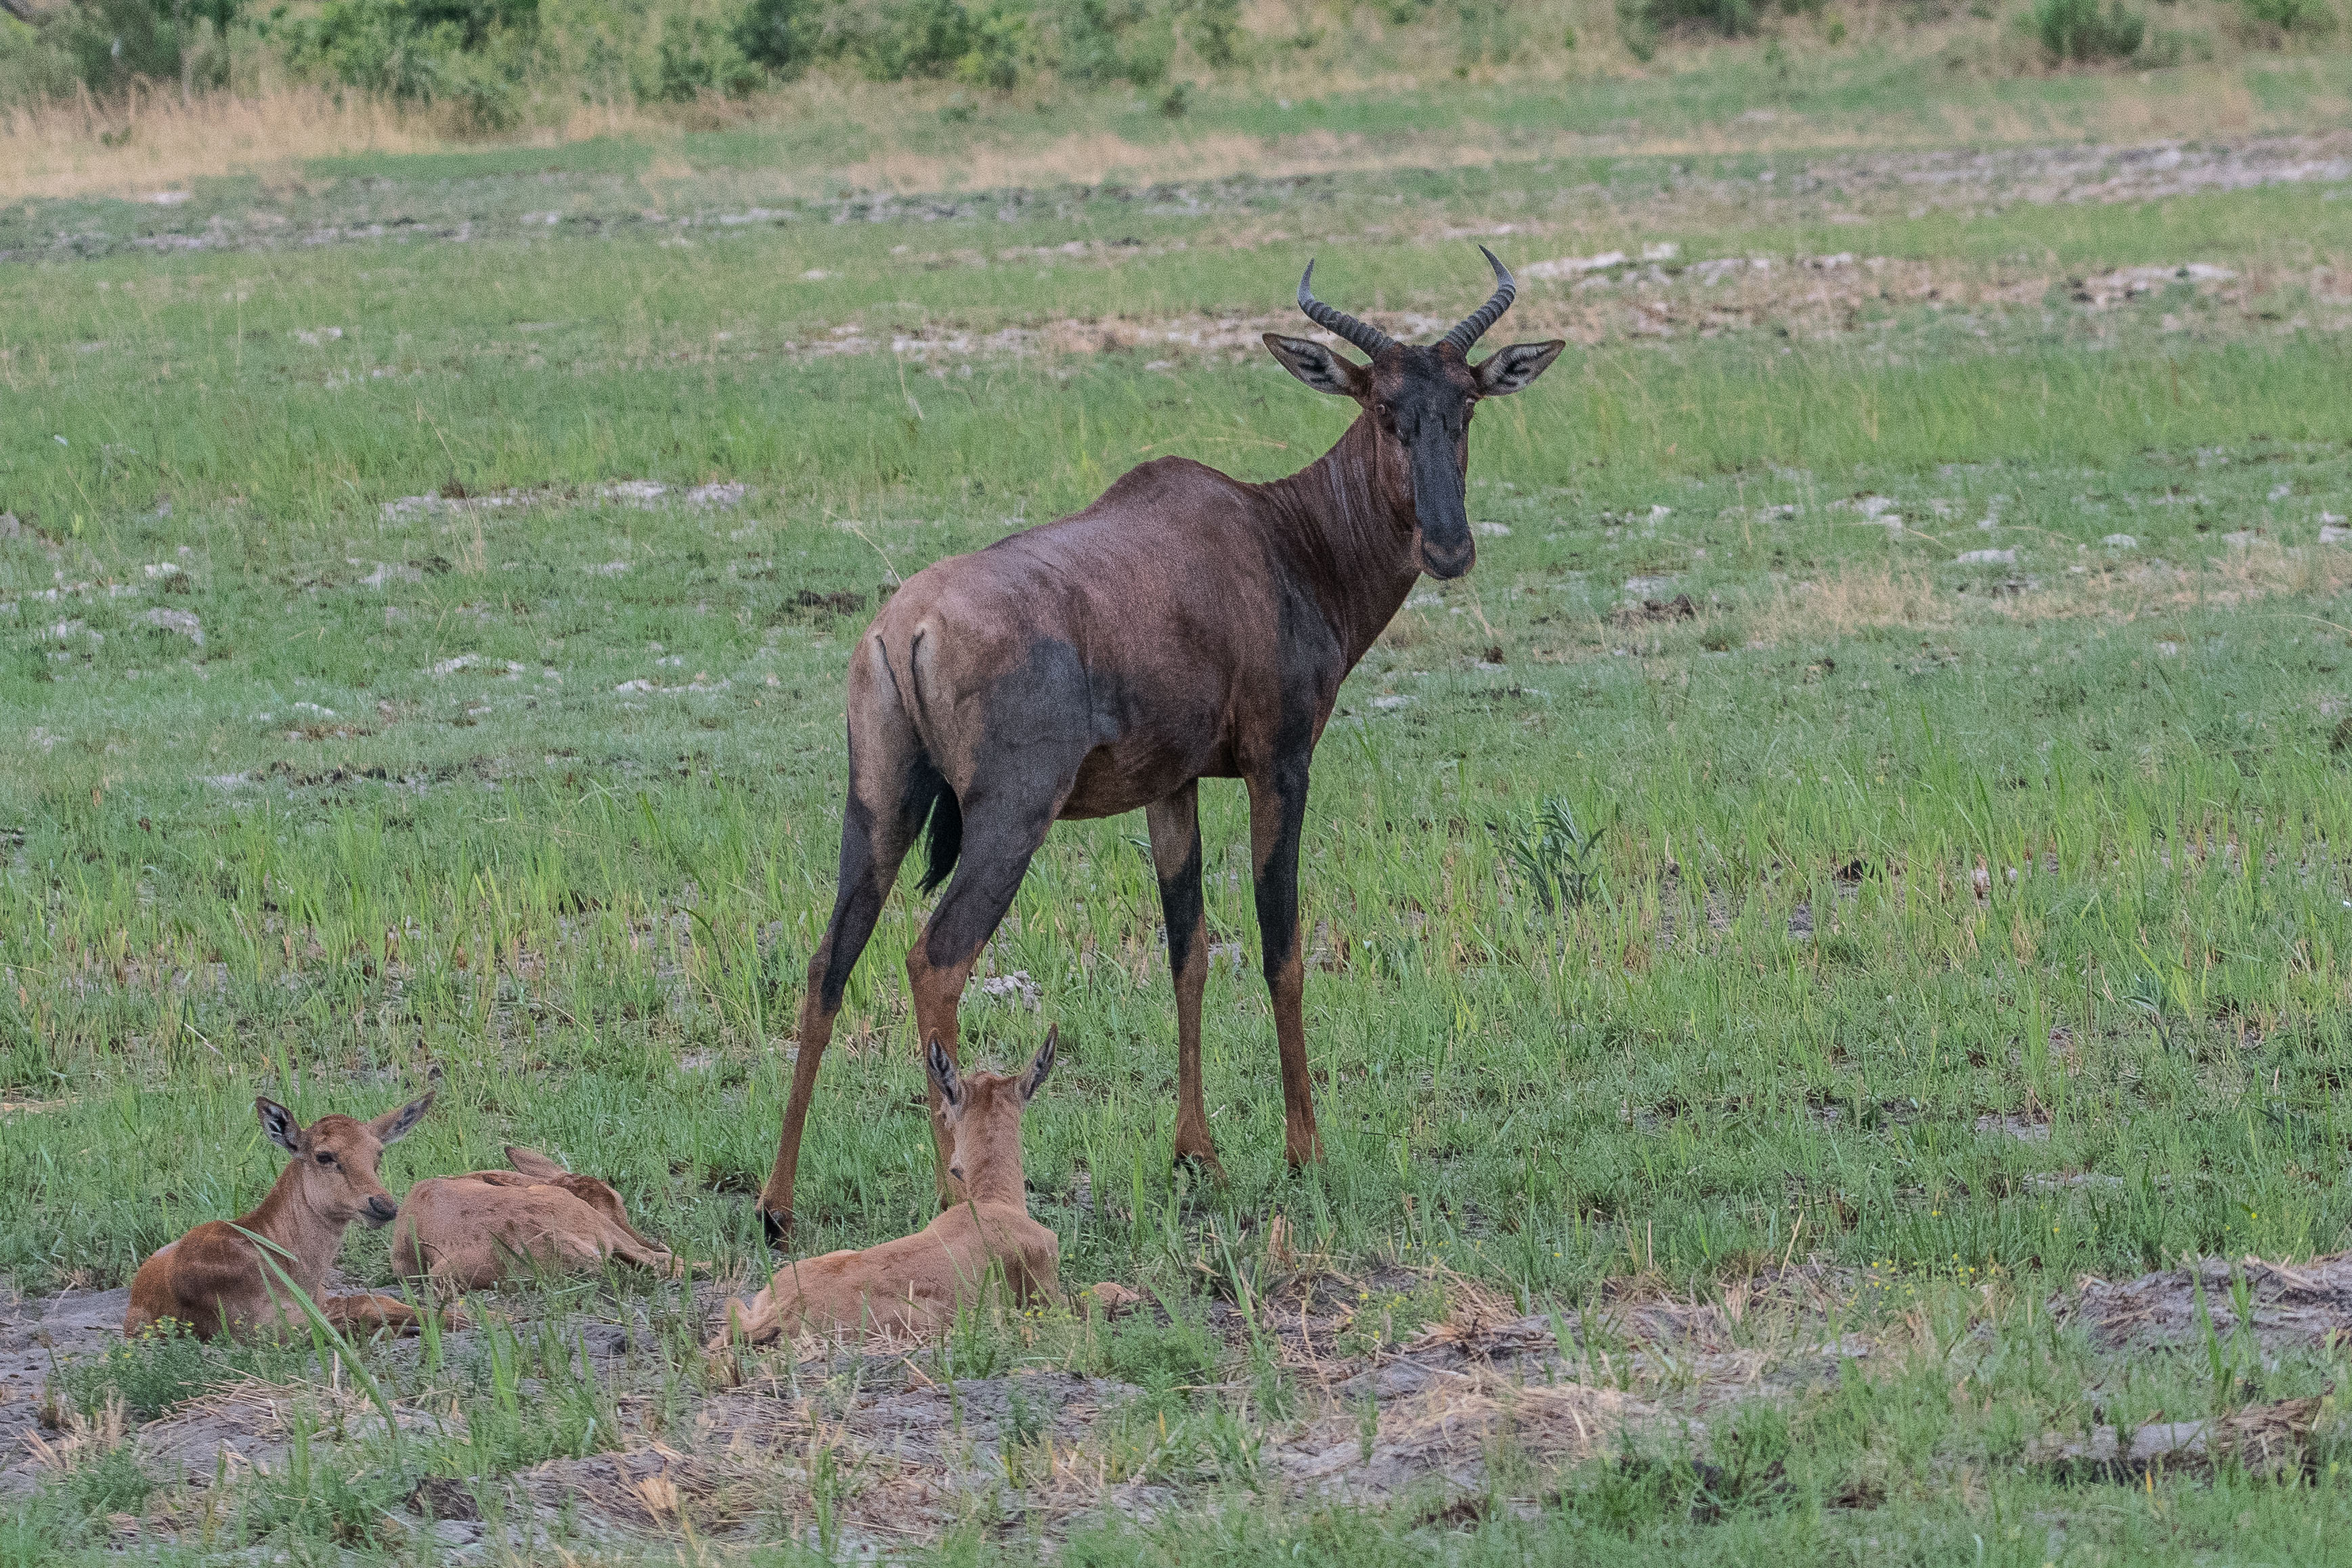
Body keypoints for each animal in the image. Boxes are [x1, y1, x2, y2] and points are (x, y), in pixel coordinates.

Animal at [757, 251, 1561, 1241]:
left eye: (1468, 404)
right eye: (1381, 408)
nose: (1449, 549)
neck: (1274, 535)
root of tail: (904, 625)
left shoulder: (1169, 789)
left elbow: (1189, 952)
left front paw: (1196, 1155)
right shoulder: (1278, 766)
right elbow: (1279, 945)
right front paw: (1304, 1152)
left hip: (876, 807)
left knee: (829, 963)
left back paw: (777, 1204)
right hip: (1010, 821)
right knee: (934, 959)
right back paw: (953, 1199)